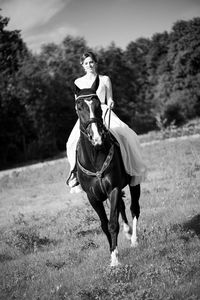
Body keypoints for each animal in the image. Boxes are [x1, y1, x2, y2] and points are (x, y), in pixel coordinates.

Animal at [73, 76, 141, 266]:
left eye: (98, 105)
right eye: (79, 107)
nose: (97, 138)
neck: (95, 156)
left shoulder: (114, 189)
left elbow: (112, 224)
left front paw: (115, 260)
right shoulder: (93, 197)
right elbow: (104, 225)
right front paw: (113, 253)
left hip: (134, 182)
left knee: (134, 208)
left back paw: (134, 239)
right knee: (122, 208)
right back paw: (128, 233)